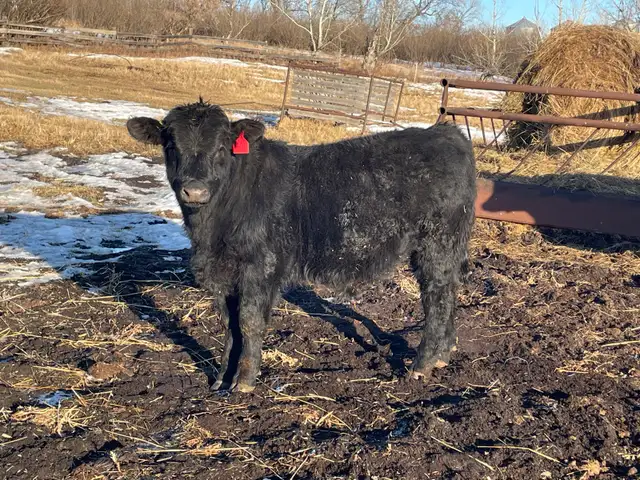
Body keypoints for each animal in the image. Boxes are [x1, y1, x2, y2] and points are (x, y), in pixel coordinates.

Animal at [126, 100, 476, 393]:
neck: (212, 231)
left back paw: (422, 365)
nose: (195, 191)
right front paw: (222, 379)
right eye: (170, 145)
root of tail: (445, 133)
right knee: (449, 291)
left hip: (437, 243)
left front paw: (244, 382)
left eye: (222, 147)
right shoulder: (223, 275)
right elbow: (229, 324)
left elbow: (249, 321)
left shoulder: (260, 268)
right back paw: (443, 353)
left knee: (437, 297)